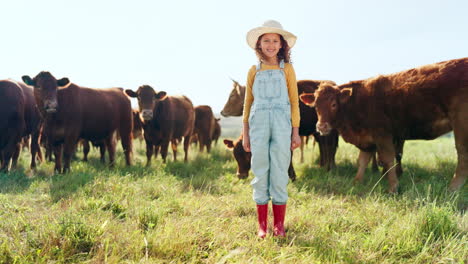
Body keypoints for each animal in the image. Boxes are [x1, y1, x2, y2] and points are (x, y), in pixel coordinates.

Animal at [302, 57, 466, 192]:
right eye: (315, 106)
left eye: (334, 104)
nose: (321, 126)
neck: (356, 102)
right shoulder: (367, 140)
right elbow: (362, 161)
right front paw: (356, 182)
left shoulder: (383, 136)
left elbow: (388, 160)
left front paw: (393, 187)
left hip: (460, 124)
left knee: (463, 155)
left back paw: (453, 188)